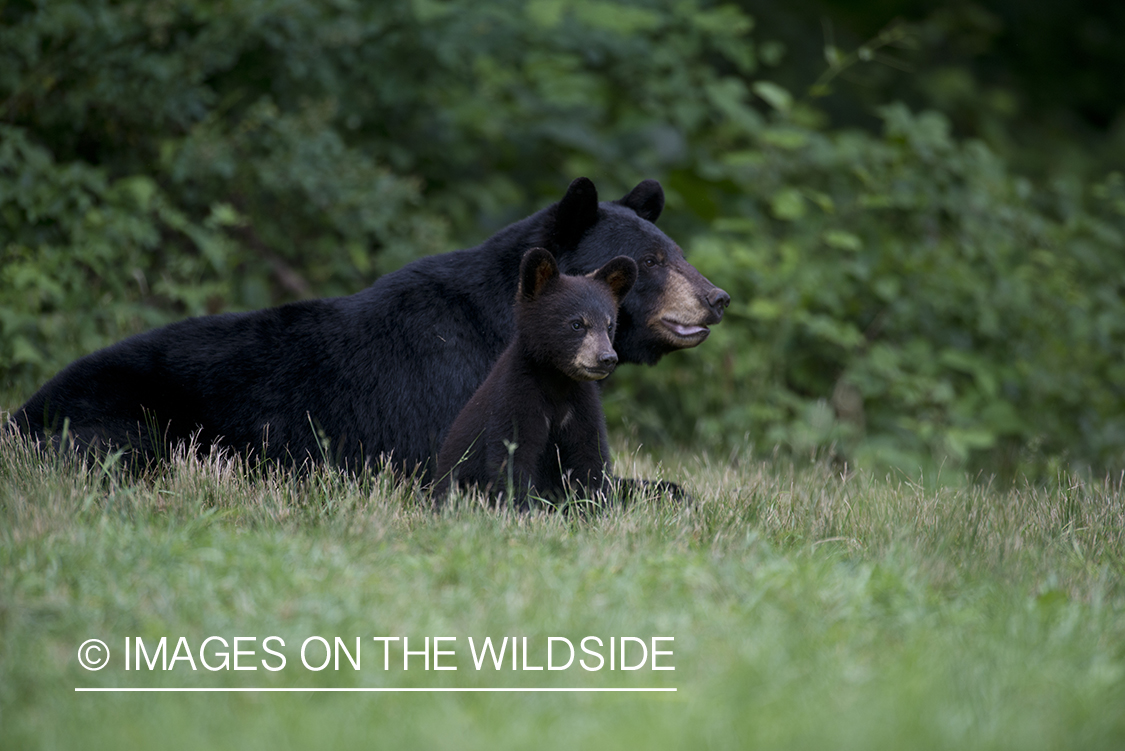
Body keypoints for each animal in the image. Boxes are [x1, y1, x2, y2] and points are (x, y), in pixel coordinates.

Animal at [13, 176, 733, 474]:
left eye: (675, 249)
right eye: (649, 262)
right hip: (125, 424)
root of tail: (18, 415)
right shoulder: (463, 390)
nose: (717, 297)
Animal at [434, 249, 639, 508]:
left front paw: (597, 507)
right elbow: (512, 456)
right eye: (576, 324)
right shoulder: (515, 396)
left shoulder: (582, 405)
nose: (607, 358)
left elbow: (591, 454)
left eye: (609, 325)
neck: (557, 381)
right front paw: (521, 508)